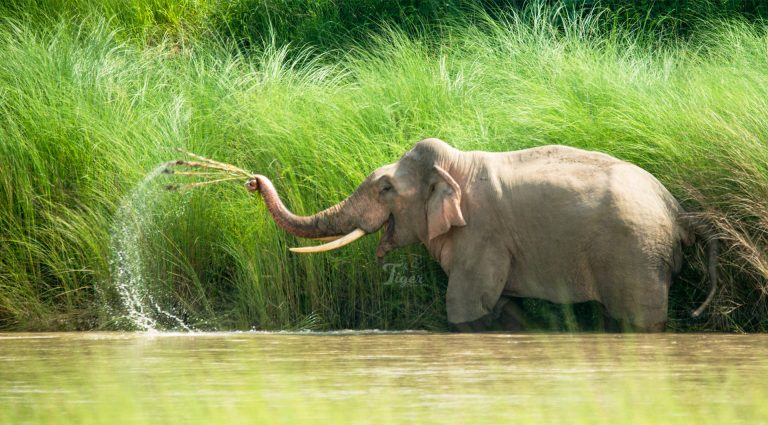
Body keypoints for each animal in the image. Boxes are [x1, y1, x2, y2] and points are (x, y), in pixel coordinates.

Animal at [246, 138, 718, 332]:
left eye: (385, 189)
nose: (252, 180)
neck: (456, 165)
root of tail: (678, 212)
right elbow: (503, 308)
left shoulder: (482, 233)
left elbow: (465, 307)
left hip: (635, 253)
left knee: (636, 319)